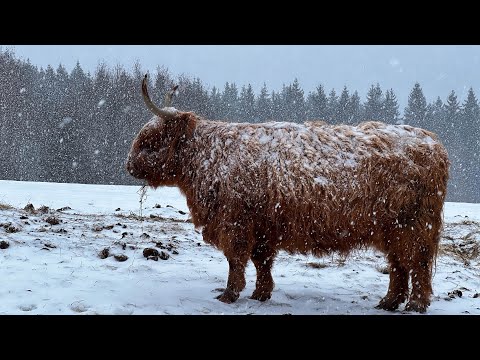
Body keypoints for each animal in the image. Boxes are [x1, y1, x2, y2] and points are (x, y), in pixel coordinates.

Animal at [125, 75, 448, 312]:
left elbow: (236, 260)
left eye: (150, 139)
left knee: (416, 263)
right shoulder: (262, 225)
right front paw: (260, 293)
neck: (208, 157)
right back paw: (389, 302)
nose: (128, 164)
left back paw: (415, 305)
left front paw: (230, 294)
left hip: (414, 225)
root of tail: (433, 142)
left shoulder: (235, 221)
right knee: (398, 264)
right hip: (392, 227)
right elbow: (261, 260)